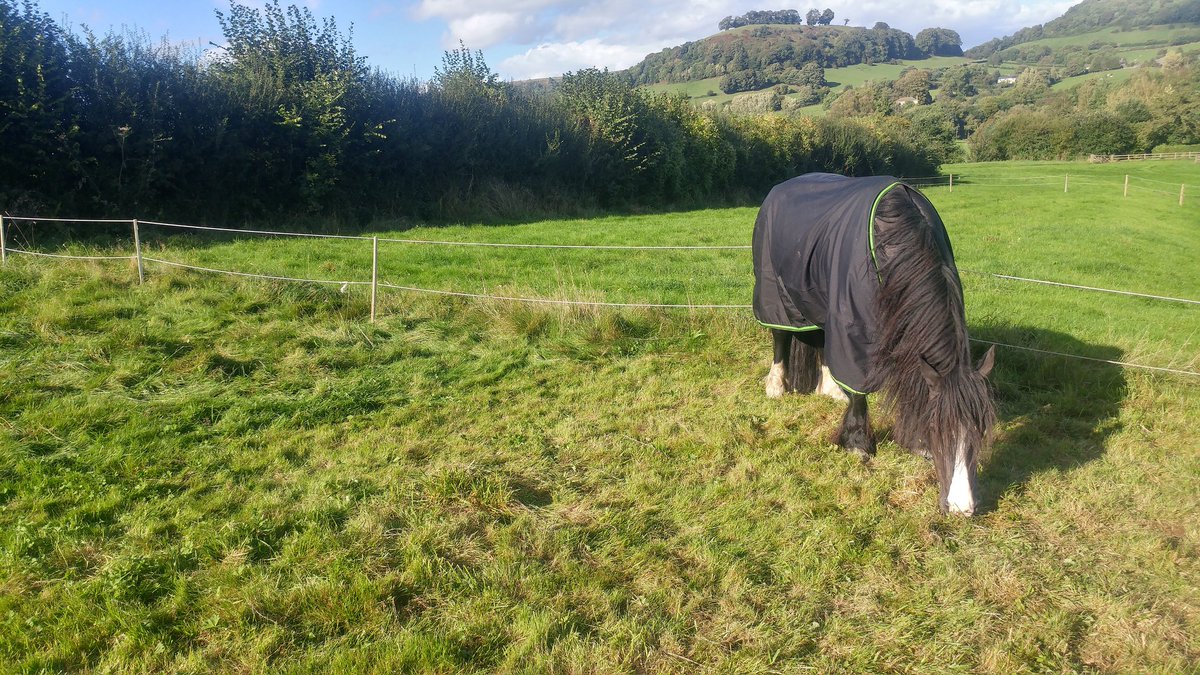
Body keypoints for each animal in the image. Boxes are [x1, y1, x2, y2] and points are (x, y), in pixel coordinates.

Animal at [752, 173, 996, 516]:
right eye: (939, 430)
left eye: (981, 430)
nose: (963, 508)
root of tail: (781, 187)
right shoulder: (853, 322)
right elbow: (858, 389)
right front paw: (857, 444)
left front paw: (916, 443)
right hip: (775, 291)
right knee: (780, 335)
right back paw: (776, 385)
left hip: (817, 298)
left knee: (821, 339)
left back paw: (829, 389)